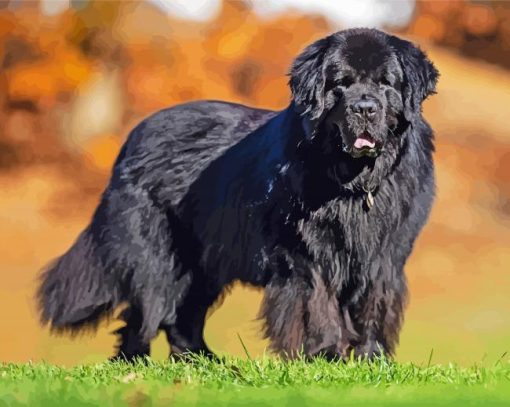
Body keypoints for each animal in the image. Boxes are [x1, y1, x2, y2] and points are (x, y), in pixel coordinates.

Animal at [38, 27, 438, 360]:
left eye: (386, 83)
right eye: (340, 83)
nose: (365, 108)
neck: (353, 183)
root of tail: (134, 136)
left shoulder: (384, 254)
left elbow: (375, 304)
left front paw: (372, 358)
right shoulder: (306, 253)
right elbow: (317, 304)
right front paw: (326, 355)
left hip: (203, 263)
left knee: (183, 316)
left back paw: (203, 363)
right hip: (156, 258)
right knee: (146, 313)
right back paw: (135, 364)